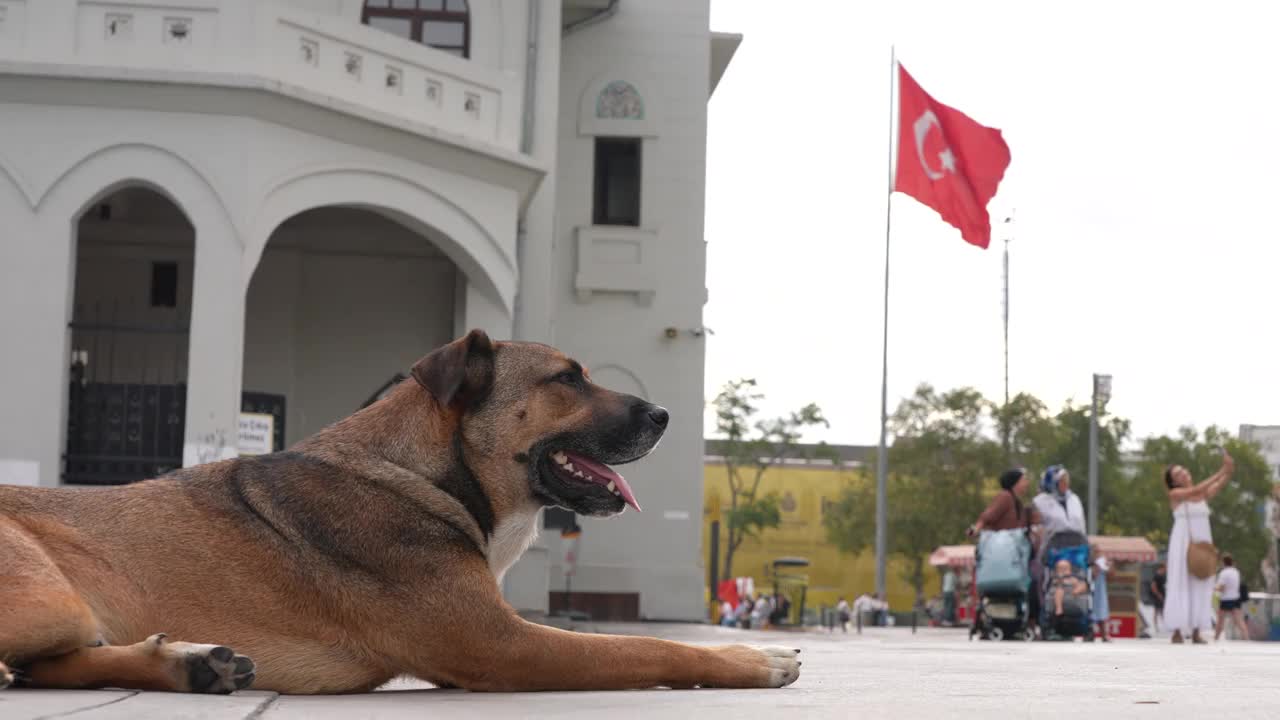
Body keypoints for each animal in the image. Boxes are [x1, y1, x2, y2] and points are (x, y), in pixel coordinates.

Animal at [0, 330, 798, 691]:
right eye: (566, 379)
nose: (665, 416)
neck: (421, 473)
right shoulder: (502, 644)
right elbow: (646, 646)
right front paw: (750, 660)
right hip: (50, 595)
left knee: (43, 668)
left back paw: (190, 662)